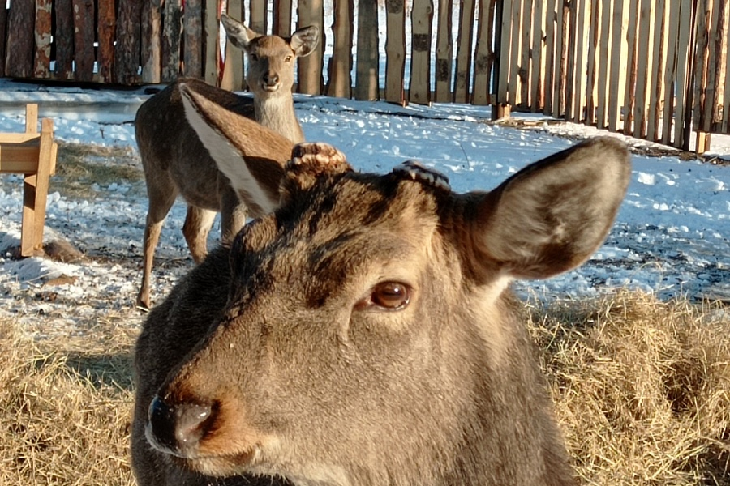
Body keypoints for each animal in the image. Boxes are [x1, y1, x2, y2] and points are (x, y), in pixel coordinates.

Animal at [135, 16, 318, 312]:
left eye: (288, 57)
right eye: (254, 55)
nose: (271, 78)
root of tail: (144, 107)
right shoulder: (232, 196)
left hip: (202, 191)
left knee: (192, 231)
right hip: (157, 171)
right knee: (152, 228)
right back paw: (143, 299)